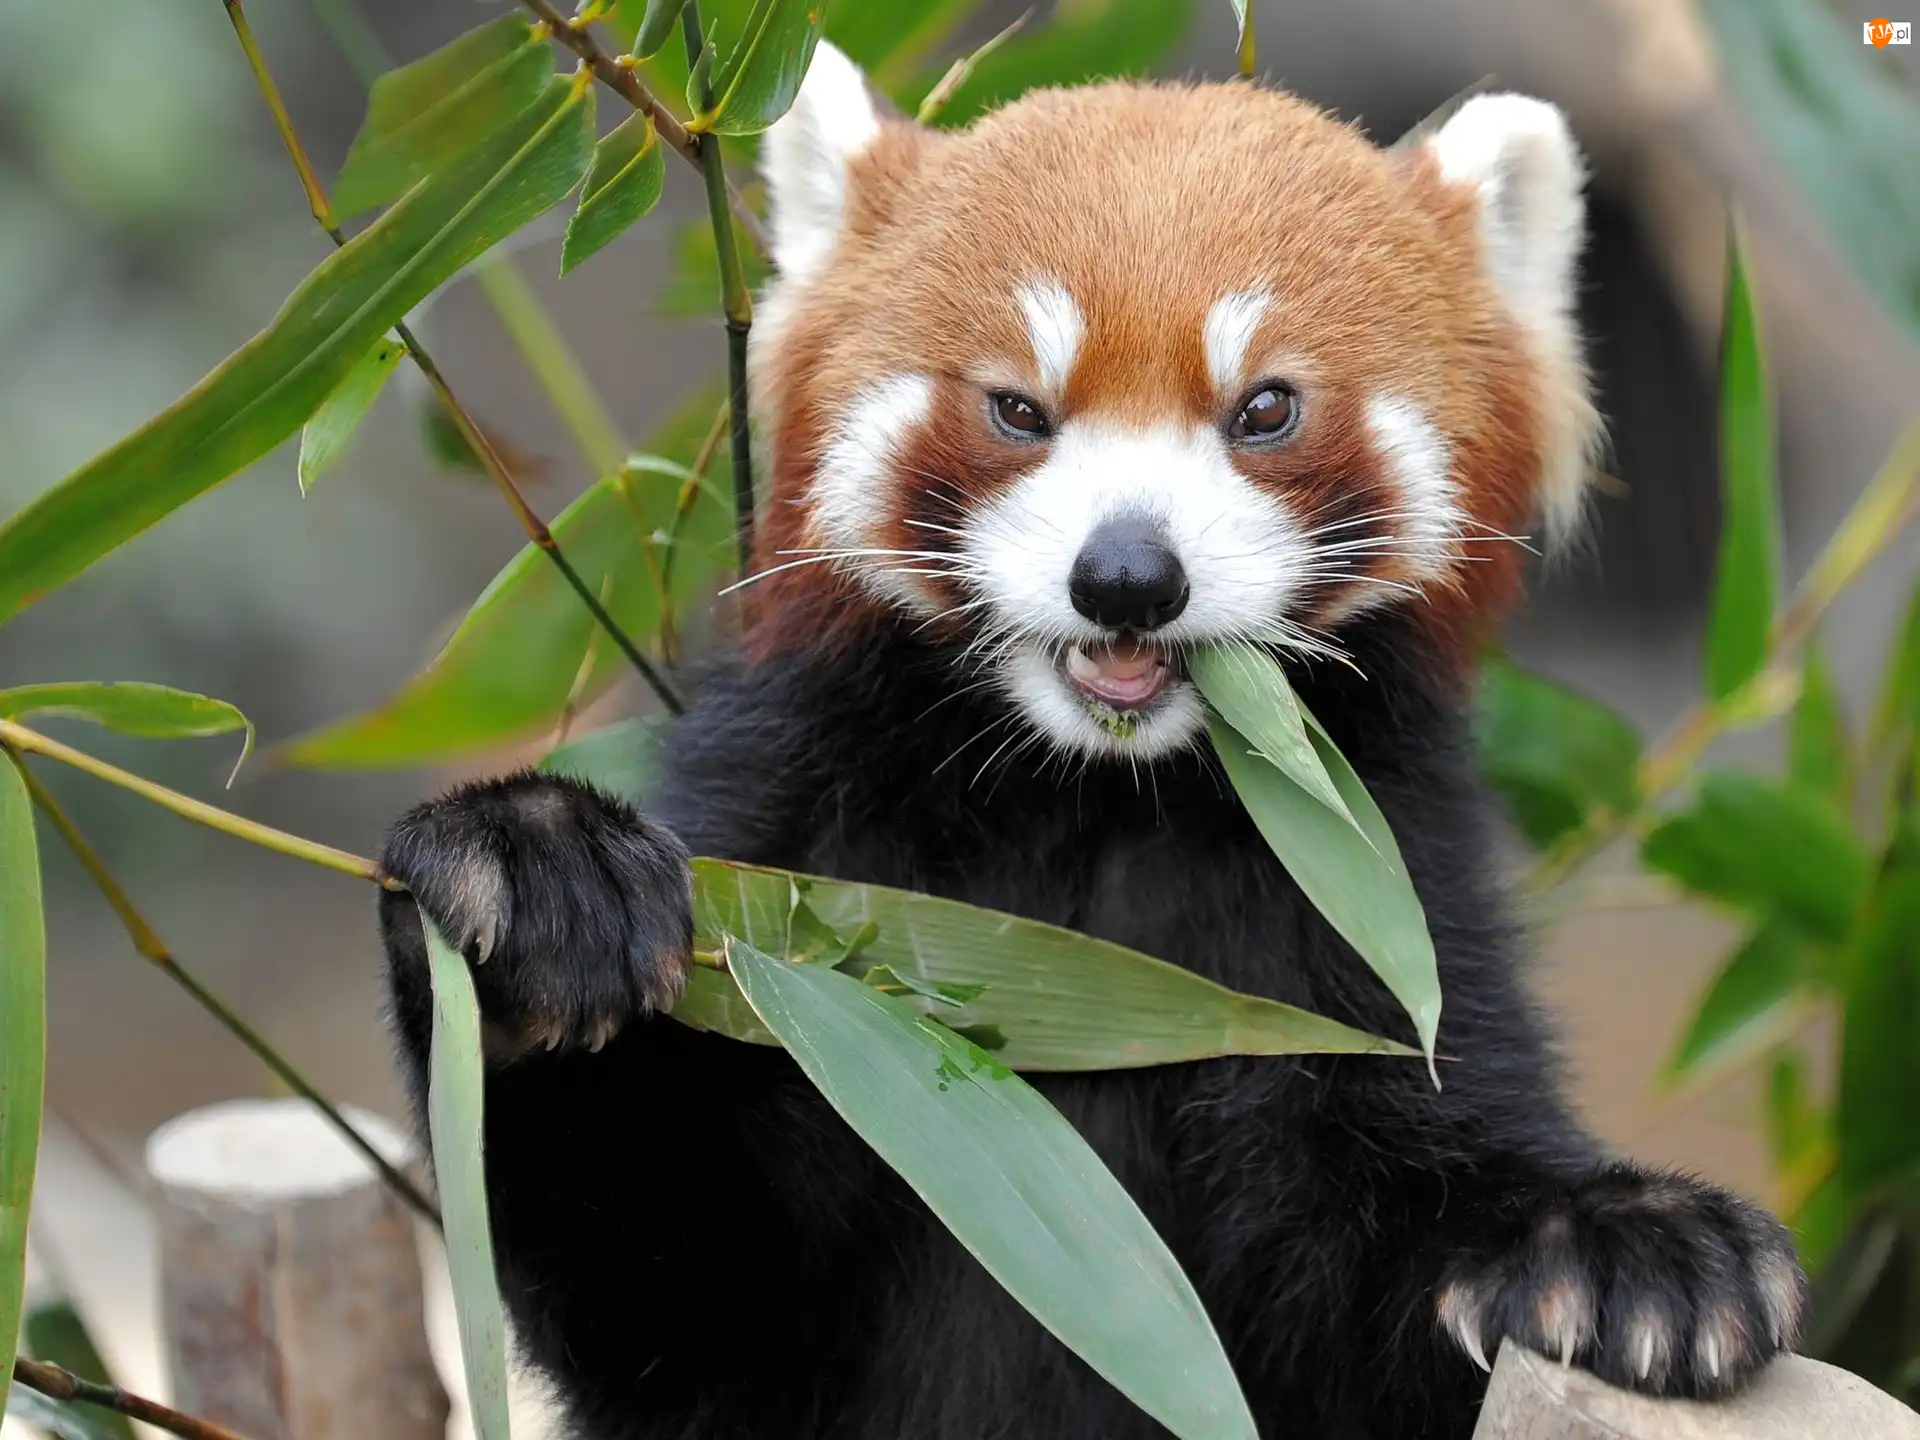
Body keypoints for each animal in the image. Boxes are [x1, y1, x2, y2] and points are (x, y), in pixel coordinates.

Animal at [377, 42, 1808, 1439]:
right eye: (1017, 408)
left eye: (1266, 408)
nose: (1127, 575)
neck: (1092, 808)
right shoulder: (801, 881)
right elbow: (668, 1276)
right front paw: (535, 882)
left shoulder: (1366, 909)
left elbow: (1388, 1232)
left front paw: (1619, 1243)